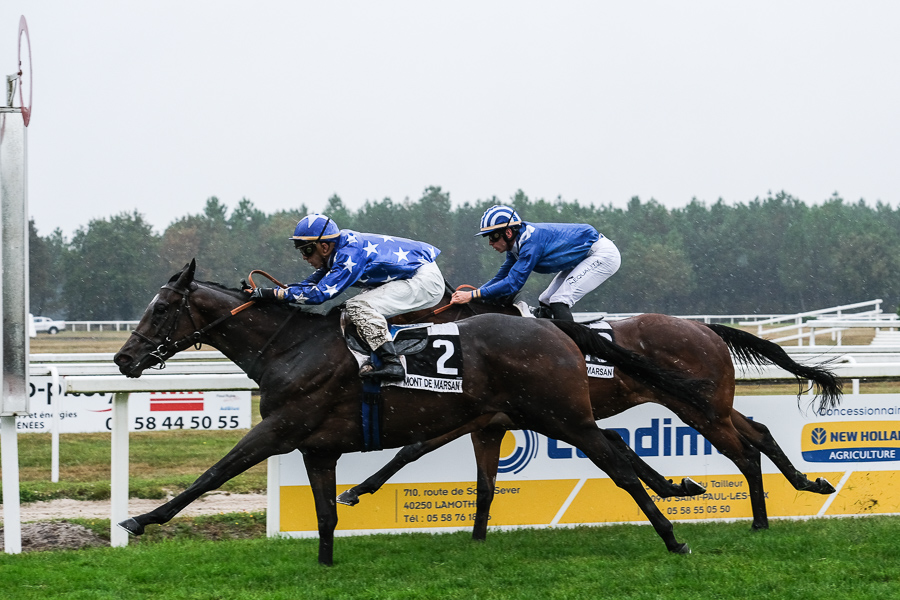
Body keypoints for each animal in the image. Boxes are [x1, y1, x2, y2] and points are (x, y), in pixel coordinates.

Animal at [114, 262, 716, 564]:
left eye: (161, 309)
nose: (123, 359)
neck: (290, 348)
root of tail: (555, 329)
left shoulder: (280, 428)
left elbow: (214, 473)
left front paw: (140, 519)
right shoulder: (318, 445)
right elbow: (326, 513)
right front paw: (326, 563)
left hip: (564, 417)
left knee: (618, 466)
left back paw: (673, 536)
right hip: (546, 416)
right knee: (619, 452)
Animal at [340, 288, 844, 532]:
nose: (384, 349)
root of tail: (704, 328)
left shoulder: (490, 415)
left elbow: (414, 448)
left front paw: (355, 490)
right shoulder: (485, 417)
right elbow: (416, 450)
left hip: (700, 409)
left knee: (744, 451)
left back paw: (760, 518)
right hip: (708, 404)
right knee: (758, 432)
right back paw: (807, 484)